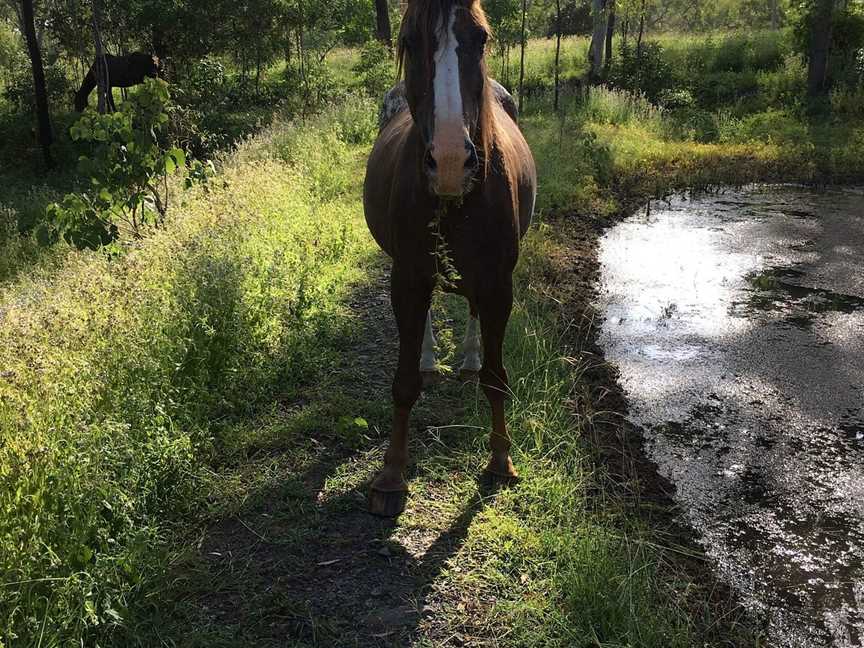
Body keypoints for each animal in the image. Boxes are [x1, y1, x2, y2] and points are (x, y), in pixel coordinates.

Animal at [362, 0, 536, 516]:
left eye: (480, 38)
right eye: (408, 41)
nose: (452, 163)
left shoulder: (499, 283)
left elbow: (497, 379)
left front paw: (500, 460)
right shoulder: (408, 277)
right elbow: (403, 382)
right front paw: (391, 474)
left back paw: (469, 359)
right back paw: (429, 356)